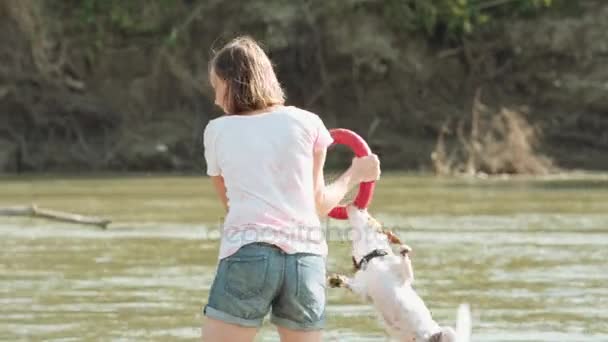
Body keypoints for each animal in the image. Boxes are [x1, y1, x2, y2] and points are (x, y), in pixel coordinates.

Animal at [328, 206, 470, 342]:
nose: (350, 204)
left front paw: (404, 250)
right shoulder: (363, 290)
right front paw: (337, 279)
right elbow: (351, 285)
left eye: (369, 217)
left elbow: (405, 263)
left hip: (447, 332)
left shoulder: (405, 276)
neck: (374, 258)